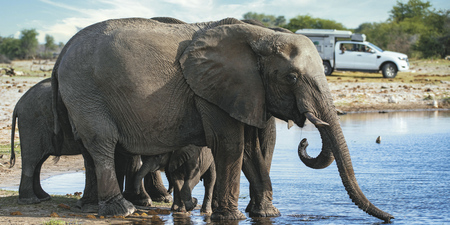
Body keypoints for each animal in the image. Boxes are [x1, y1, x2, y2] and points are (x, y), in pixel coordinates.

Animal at [51, 17, 392, 221]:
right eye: (292, 77)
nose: (390, 218)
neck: (260, 36)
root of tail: (62, 51)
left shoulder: (246, 90)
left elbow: (251, 151)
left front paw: (268, 214)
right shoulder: (210, 90)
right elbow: (230, 144)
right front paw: (231, 218)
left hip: (81, 96)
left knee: (88, 150)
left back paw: (89, 206)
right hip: (87, 91)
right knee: (102, 143)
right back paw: (120, 210)